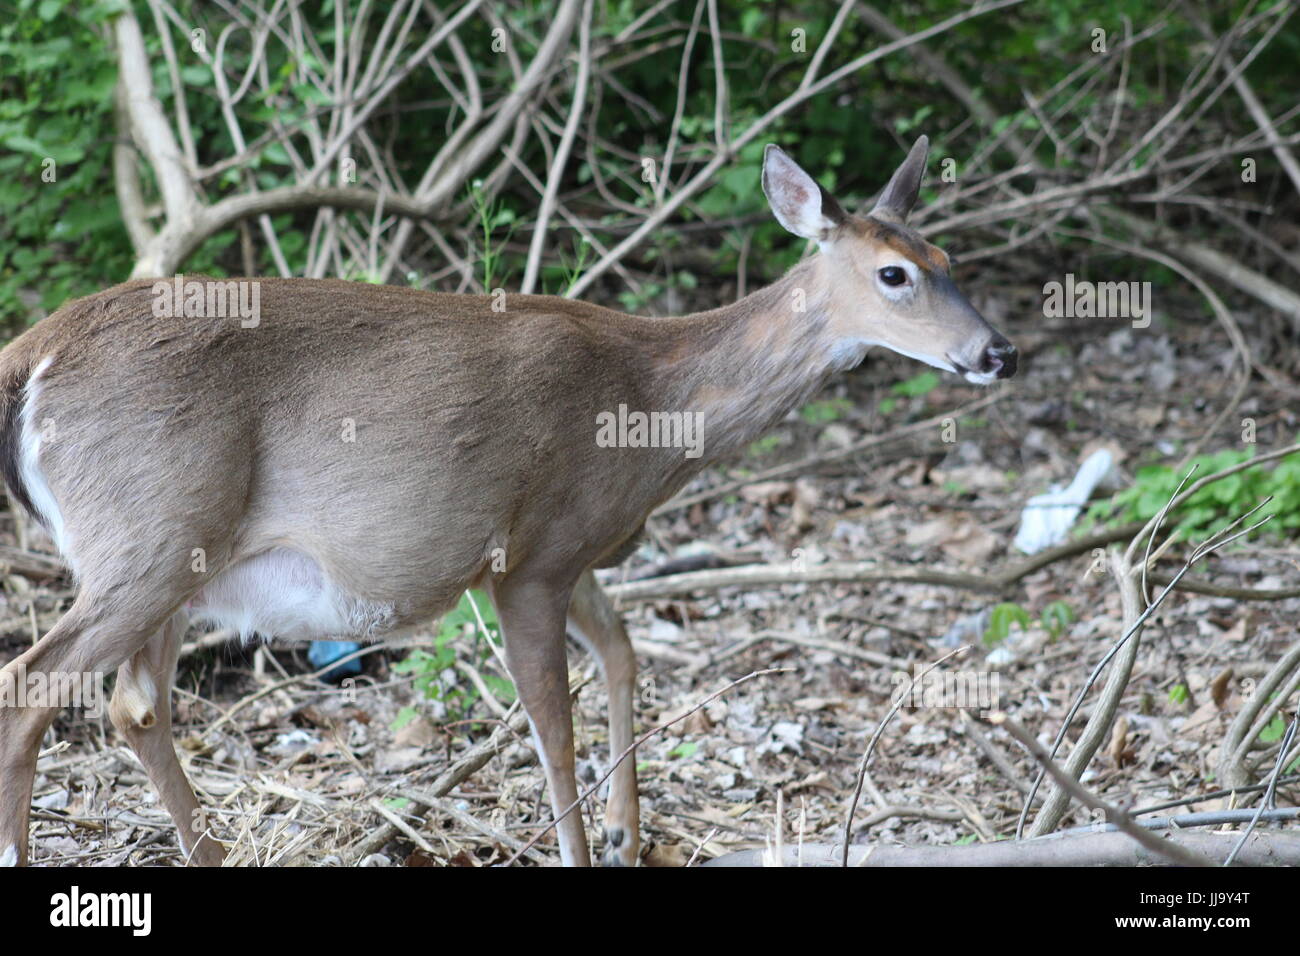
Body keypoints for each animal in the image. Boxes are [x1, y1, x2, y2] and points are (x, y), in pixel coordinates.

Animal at [0, 134, 1013, 868]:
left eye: (948, 255)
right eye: (894, 274)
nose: (996, 351)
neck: (650, 405)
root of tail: (31, 353)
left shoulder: (574, 545)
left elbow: (624, 652)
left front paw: (628, 833)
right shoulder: (532, 557)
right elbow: (552, 731)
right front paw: (588, 844)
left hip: (175, 558)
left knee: (134, 708)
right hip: (150, 534)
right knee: (33, 684)